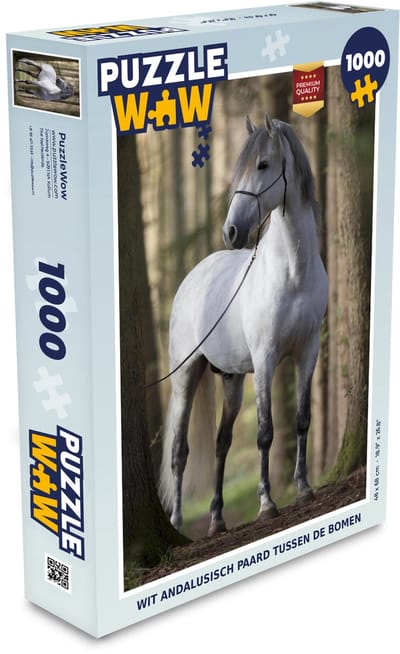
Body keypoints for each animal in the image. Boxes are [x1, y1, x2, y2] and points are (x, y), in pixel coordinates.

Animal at [159, 113, 328, 537]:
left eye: (263, 165)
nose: (231, 232)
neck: (293, 274)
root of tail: (191, 279)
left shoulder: (308, 352)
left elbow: (302, 420)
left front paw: (304, 489)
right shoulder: (265, 360)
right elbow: (265, 432)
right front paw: (267, 504)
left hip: (232, 379)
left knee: (222, 442)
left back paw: (217, 519)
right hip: (186, 376)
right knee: (179, 451)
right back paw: (178, 523)